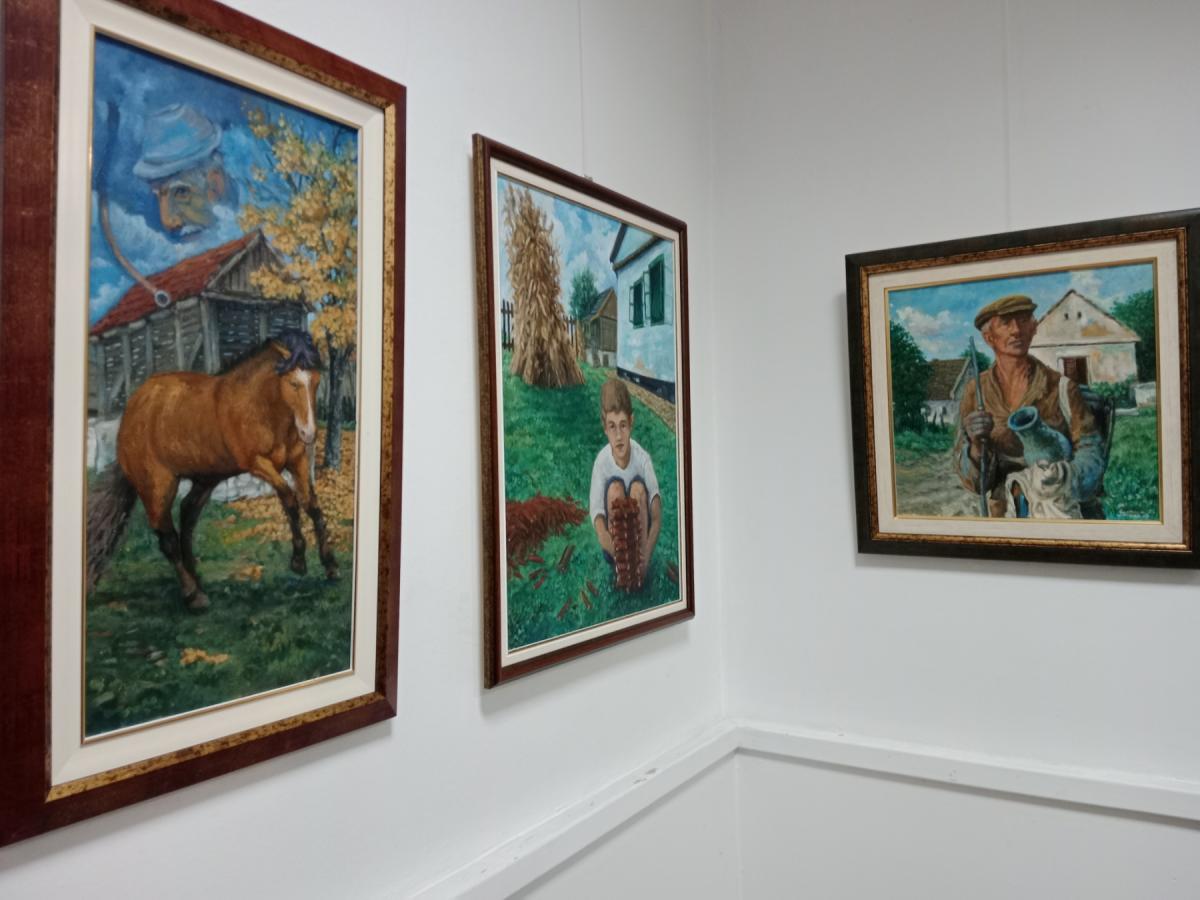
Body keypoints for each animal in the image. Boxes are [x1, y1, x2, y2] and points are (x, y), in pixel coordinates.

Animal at [86, 329, 338, 610]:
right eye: (293, 383)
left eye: (316, 381)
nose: (309, 433)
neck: (259, 406)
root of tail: (131, 413)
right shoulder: (258, 464)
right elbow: (290, 500)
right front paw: (298, 561)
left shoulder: (297, 461)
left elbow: (312, 506)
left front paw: (330, 566)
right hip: (158, 485)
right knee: (167, 538)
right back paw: (193, 595)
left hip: (204, 480)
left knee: (186, 520)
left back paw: (197, 580)